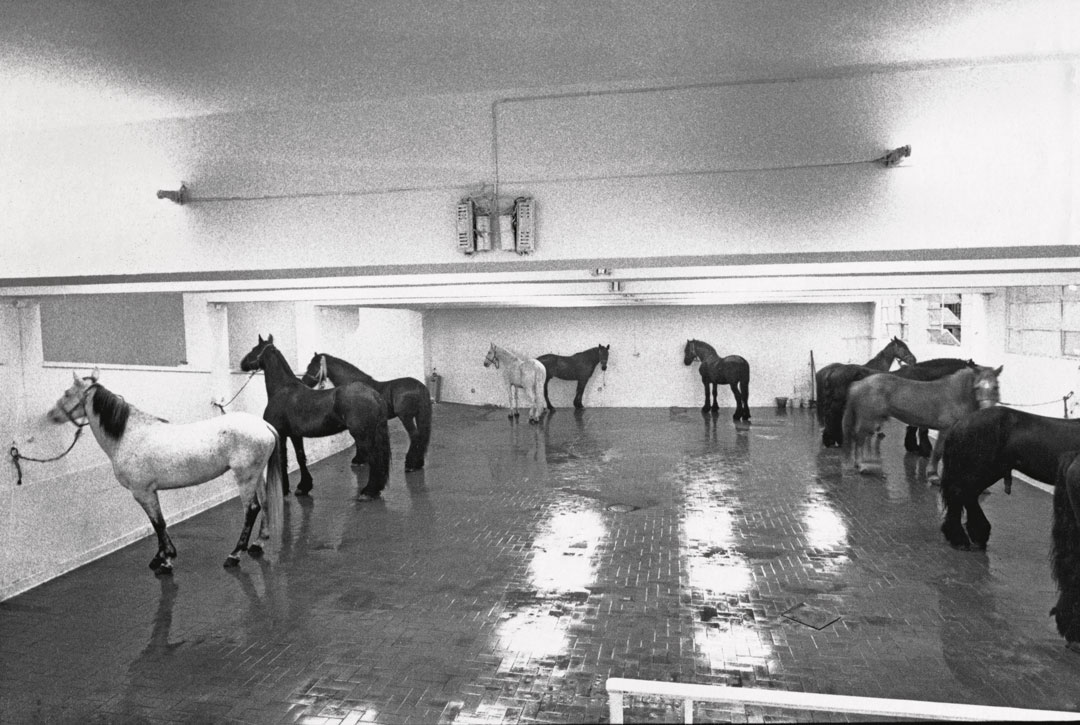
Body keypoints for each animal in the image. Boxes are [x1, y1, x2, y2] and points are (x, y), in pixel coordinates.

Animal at [47, 371, 282, 574]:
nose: (51, 415)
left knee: (252, 509)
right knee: (264, 503)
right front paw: (161, 557)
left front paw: (166, 559)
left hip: (245, 477)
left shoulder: (142, 492)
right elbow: (158, 523)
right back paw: (258, 543)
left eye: (67, 393)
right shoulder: (150, 492)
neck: (129, 435)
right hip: (256, 475)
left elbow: (158, 523)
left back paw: (234, 554)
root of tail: (264, 425)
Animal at [240, 337, 393, 499]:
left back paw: (369, 491)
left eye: (254, 349)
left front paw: (284, 489)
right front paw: (304, 486)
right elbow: (300, 458)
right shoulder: (295, 435)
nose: (242, 363)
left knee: (374, 460)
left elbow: (283, 460)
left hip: (363, 436)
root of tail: (374, 394)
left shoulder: (281, 435)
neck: (282, 390)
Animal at [300, 352, 434, 475]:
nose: (303, 382)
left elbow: (358, 439)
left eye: (313, 367)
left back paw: (411, 465)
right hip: (418, 416)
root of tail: (420, 387)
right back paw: (418, 463)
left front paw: (359, 460)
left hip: (406, 417)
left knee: (415, 436)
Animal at [937, 408, 1080, 551]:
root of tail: (960, 423)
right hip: (981, 470)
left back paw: (977, 534)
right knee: (960, 494)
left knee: (968, 495)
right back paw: (960, 539)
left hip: (988, 471)